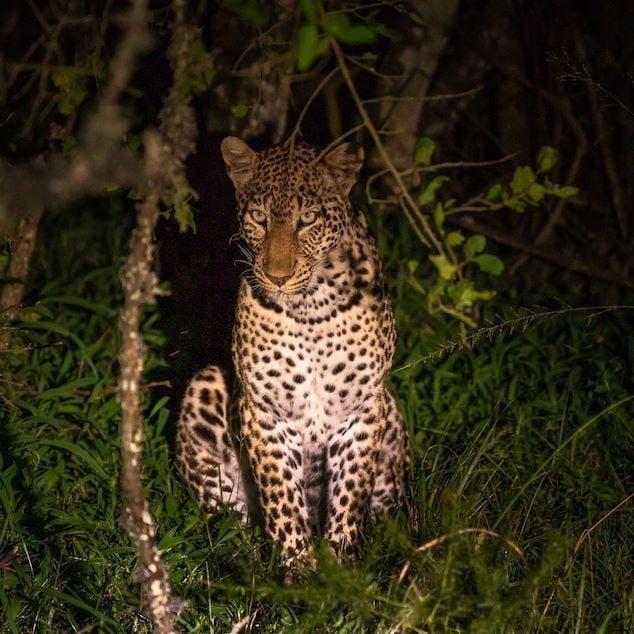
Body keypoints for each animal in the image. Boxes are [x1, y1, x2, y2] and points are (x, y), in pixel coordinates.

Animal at [175, 136, 408, 560]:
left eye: (309, 218)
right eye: (259, 217)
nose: (277, 277)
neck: (309, 307)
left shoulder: (363, 406)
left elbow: (351, 493)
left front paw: (340, 564)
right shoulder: (265, 410)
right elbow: (281, 494)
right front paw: (298, 563)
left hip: (391, 411)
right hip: (206, 386)